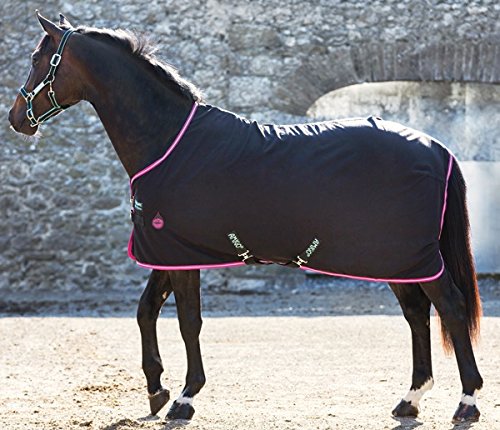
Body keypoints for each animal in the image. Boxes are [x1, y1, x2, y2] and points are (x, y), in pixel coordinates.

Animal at [8, 12, 483, 424]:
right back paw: (409, 400)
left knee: (451, 307)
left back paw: (467, 403)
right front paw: (156, 390)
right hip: (398, 260)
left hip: (411, 257)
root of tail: (437, 148)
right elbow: (146, 311)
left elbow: (188, 321)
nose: (16, 119)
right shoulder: (168, 250)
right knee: (417, 313)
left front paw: (185, 398)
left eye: (36, 59)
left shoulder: (181, 255)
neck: (169, 139)